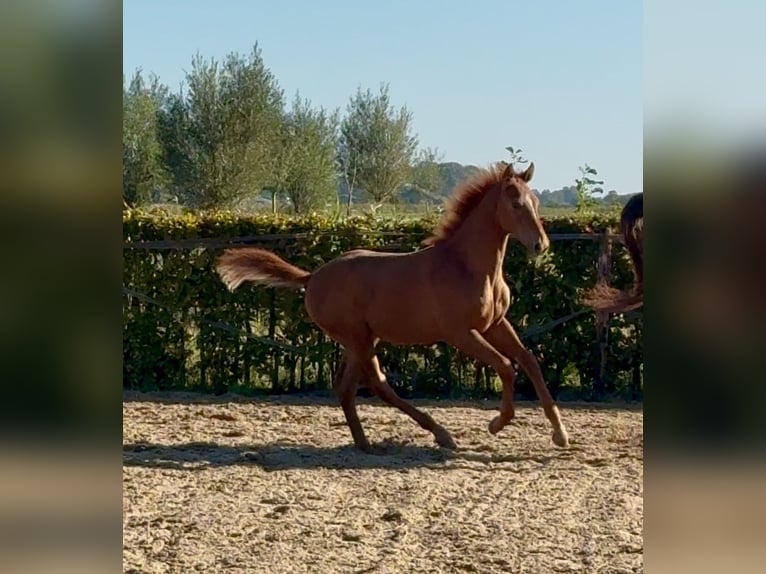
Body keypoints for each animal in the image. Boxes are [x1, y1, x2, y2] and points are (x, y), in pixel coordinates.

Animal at [216, 162, 568, 454]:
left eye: (536, 203)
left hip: (361, 339)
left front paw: (560, 433)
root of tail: (312, 276)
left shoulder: (496, 324)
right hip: (357, 337)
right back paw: (439, 434)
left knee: (347, 387)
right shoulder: (461, 333)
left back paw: (366, 443)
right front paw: (497, 424)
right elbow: (507, 367)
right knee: (376, 384)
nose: (541, 245)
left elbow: (529, 362)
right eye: (515, 204)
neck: (466, 266)